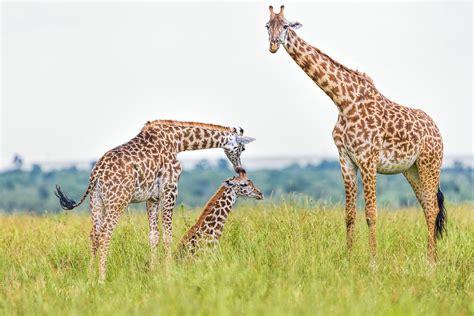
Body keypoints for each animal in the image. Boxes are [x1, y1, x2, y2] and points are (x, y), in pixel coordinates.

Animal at [53, 119, 256, 282]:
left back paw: (90, 276)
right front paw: (169, 271)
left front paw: (153, 271)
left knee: (94, 235)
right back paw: (102, 278)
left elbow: (153, 236)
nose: (240, 169)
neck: (177, 142)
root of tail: (96, 173)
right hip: (117, 201)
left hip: (96, 201)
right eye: (242, 148)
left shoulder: (152, 197)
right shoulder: (170, 189)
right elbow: (167, 235)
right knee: (105, 235)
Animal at [264, 5, 446, 262]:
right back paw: (433, 258)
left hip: (430, 164)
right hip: (411, 170)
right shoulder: (346, 159)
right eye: (267, 26)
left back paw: (431, 262)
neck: (343, 101)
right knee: (427, 206)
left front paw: (373, 262)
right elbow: (349, 214)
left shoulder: (368, 160)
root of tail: (437, 130)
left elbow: (371, 214)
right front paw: (348, 259)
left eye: (286, 25)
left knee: (432, 208)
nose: (273, 44)